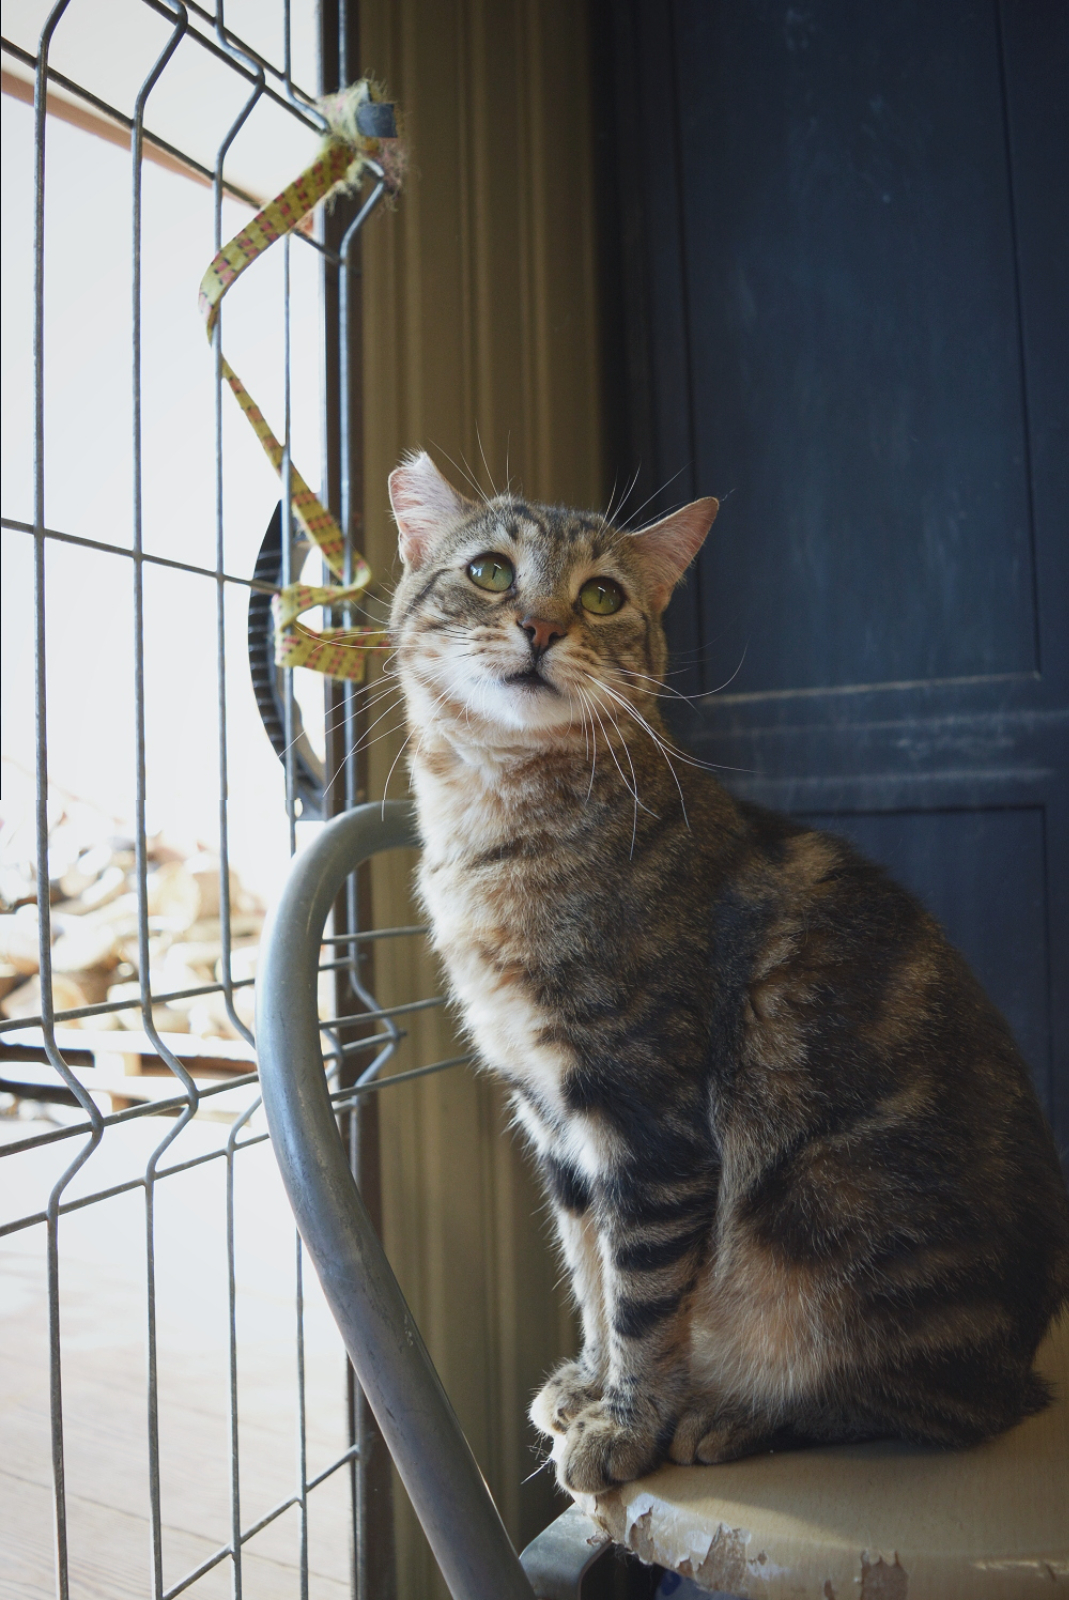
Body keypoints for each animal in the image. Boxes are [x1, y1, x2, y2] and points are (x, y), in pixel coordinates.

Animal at [386, 449, 1069, 1496]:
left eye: (601, 594)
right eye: (490, 572)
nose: (540, 626)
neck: (499, 829)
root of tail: (1023, 1353)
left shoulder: (648, 1120)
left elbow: (640, 1294)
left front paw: (625, 1424)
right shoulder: (551, 1116)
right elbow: (587, 1268)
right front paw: (589, 1384)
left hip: (820, 1207)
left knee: (931, 1405)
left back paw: (732, 1415)